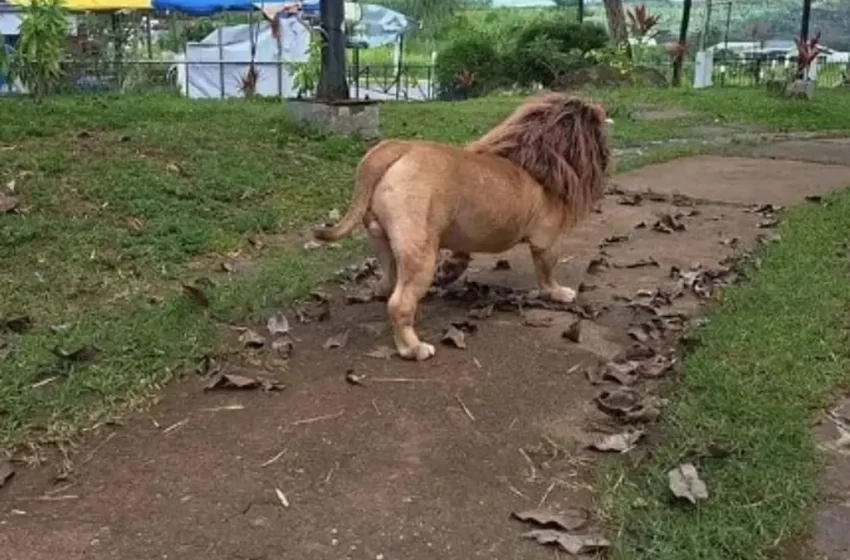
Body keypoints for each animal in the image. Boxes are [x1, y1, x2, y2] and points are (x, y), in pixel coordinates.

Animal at [313, 92, 613, 361]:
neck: (534, 157)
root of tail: (398, 148)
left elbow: (461, 256)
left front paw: (451, 271)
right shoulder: (547, 242)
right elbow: (547, 273)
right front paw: (558, 293)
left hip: (384, 244)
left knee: (388, 285)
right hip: (421, 253)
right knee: (399, 303)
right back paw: (414, 348)